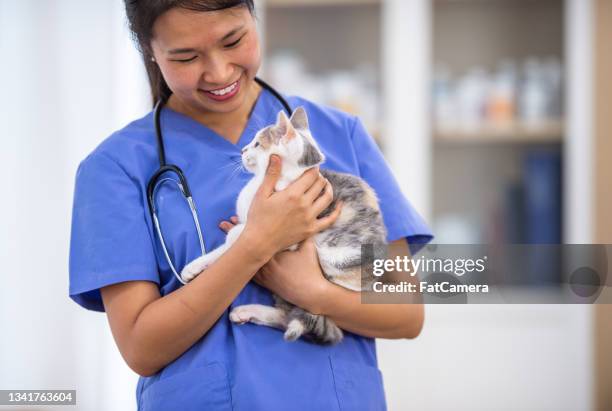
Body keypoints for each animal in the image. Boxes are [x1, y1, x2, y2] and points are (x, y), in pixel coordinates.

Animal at [179, 106, 388, 344]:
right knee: (286, 315)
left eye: (257, 144)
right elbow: (223, 250)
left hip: (337, 259)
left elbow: (239, 234)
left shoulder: (290, 236)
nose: (242, 150)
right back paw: (247, 312)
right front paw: (195, 266)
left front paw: (234, 238)